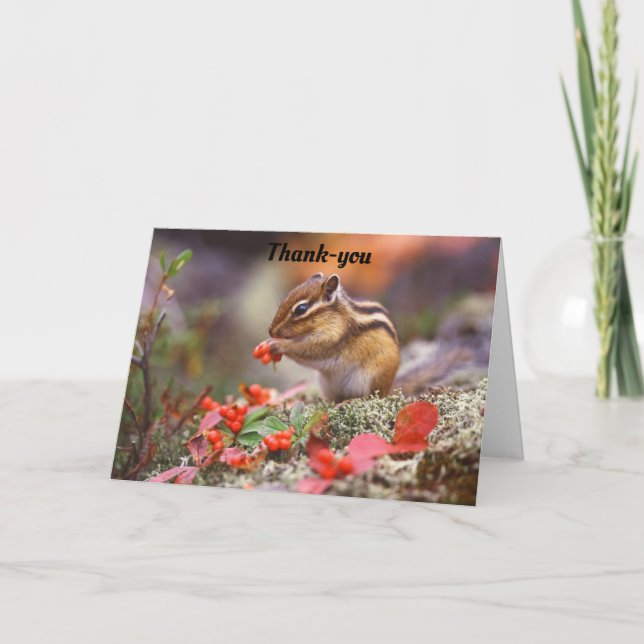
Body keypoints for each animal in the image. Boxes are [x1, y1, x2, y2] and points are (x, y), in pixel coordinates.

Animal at [267, 273, 400, 401]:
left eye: (301, 309)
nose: (271, 332)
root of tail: (388, 389)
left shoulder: (332, 339)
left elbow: (306, 350)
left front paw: (278, 345)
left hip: (369, 379)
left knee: (371, 397)